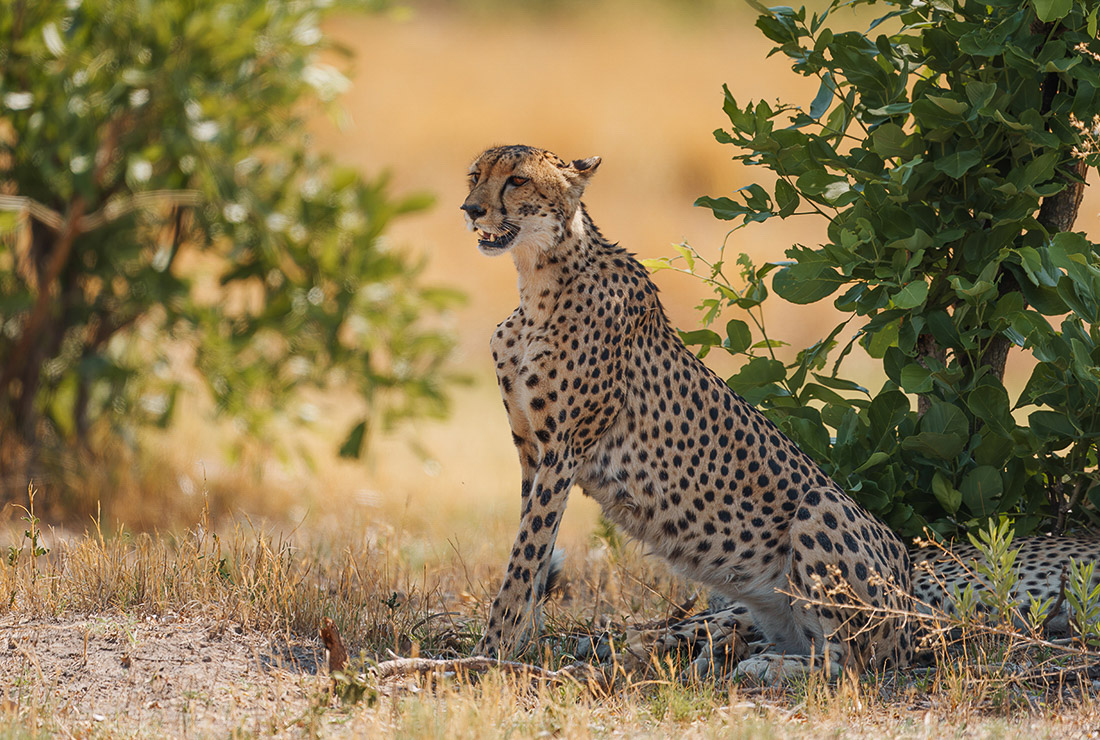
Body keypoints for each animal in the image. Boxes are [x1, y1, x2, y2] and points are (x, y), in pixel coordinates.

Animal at [460, 144, 1100, 681]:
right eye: (475, 176)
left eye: (516, 180)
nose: (470, 209)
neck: (538, 280)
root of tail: (914, 605)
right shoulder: (533, 455)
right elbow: (531, 557)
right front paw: (522, 649)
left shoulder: (562, 453)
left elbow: (523, 563)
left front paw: (487, 658)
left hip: (823, 512)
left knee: (853, 662)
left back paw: (765, 668)